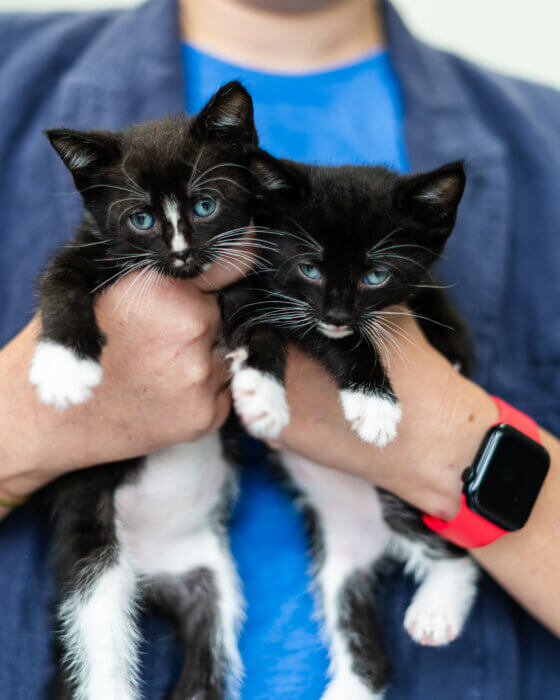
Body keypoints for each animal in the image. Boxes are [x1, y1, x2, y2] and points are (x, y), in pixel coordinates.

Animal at [30, 83, 258, 700]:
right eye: (139, 218)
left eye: (205, 206)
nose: (180, 254)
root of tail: (147, 572)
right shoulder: (88, 247)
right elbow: (59, 280)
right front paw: (64, 368)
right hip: (93, 556)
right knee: (98, 647)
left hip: (207, 579)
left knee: (208, 647)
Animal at [224, 154, 482, 700]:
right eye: (310, 268)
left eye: (376, 275)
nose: (338, 314)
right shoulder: (251, 286)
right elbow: (283, 329)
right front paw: (268, 395)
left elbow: (428, 299)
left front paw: (452, 354)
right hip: (340, 561)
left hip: (405, 498)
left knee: (457, 553)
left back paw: (437, 608)